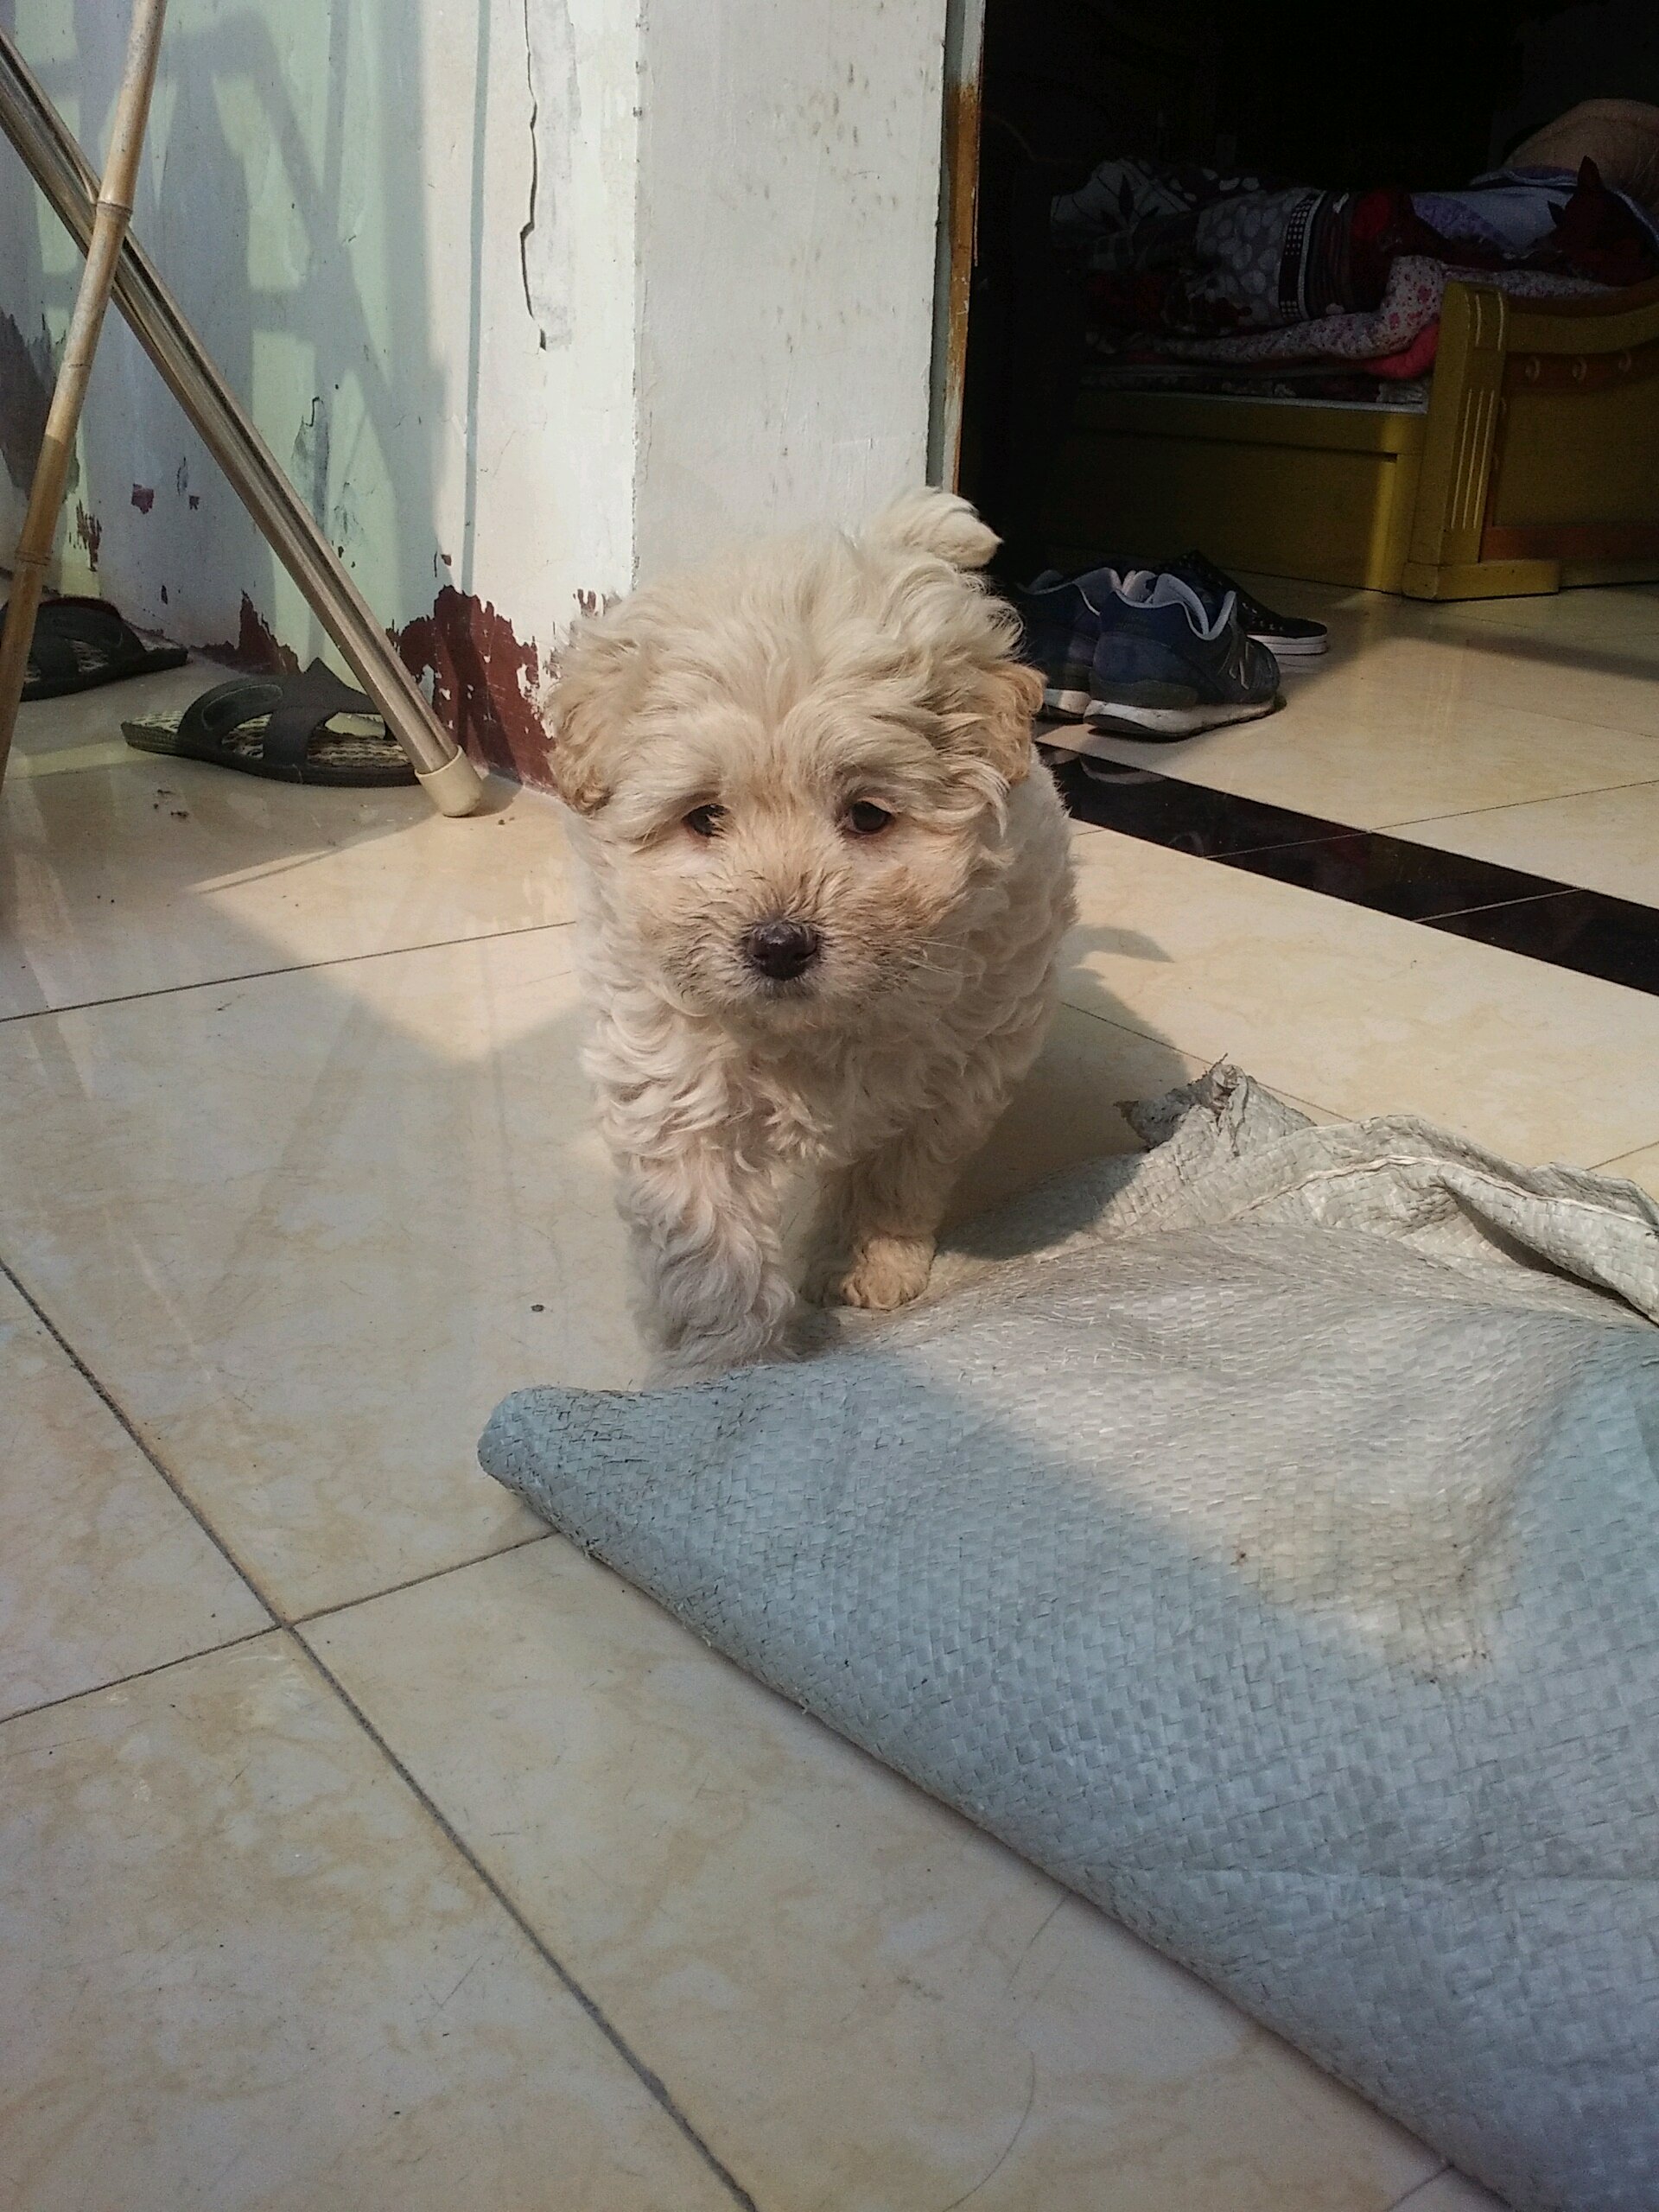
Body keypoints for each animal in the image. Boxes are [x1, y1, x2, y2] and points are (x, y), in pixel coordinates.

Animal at [548, 488, 1076, 1382]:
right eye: (704, 817)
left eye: (867, 815)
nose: (779, 947)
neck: (811, 1032)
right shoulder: (673, 1084)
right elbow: (709, 1245)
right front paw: (726, 1373)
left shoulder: (963, 1065)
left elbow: (898, 1170)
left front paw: (867, 1261)